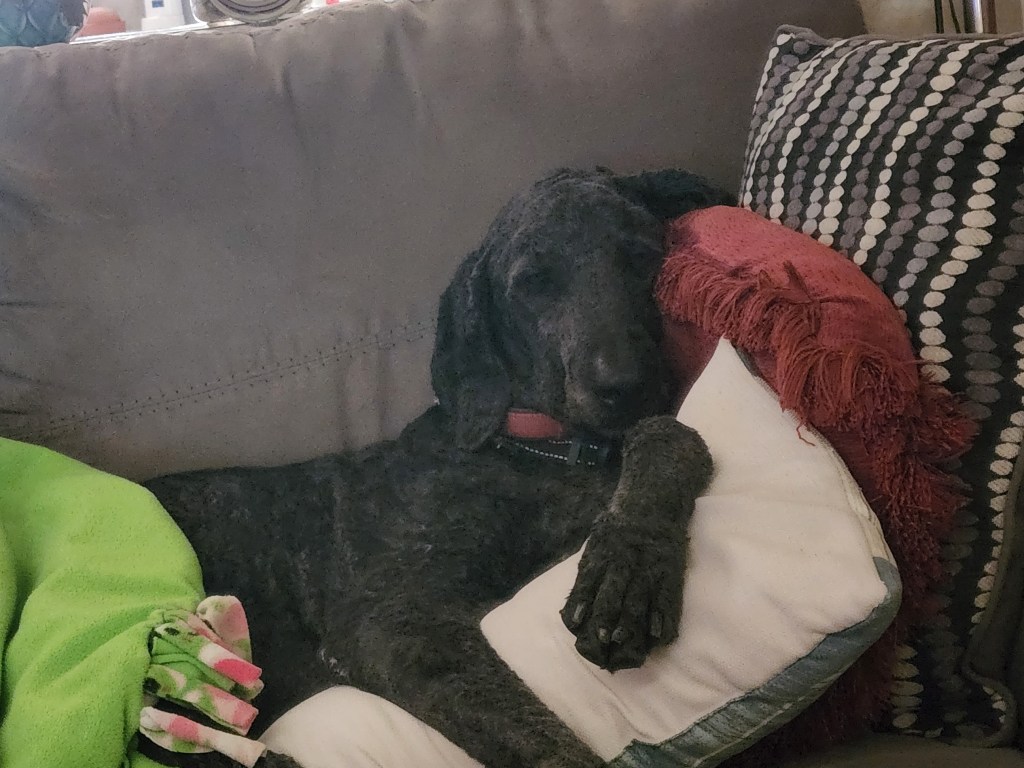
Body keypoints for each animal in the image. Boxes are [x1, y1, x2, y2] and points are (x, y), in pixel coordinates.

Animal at [143, 168, 729, 768]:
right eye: (533, 285)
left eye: (641, 254)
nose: (624, 382)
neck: (543, 449)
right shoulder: (393, 621)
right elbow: (545, 746)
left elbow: (671, 436)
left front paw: (630, 566)